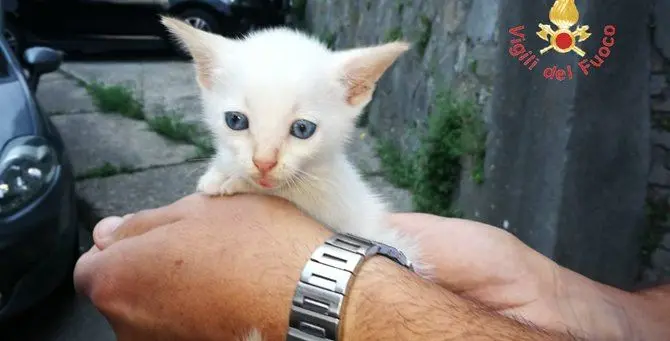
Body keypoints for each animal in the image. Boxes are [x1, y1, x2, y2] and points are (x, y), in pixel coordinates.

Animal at [161, 17, 430, 340]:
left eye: (303, 129)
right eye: (235, 121)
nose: (263, 163)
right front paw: (223, 171)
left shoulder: (335, 202)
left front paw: (230, 180)